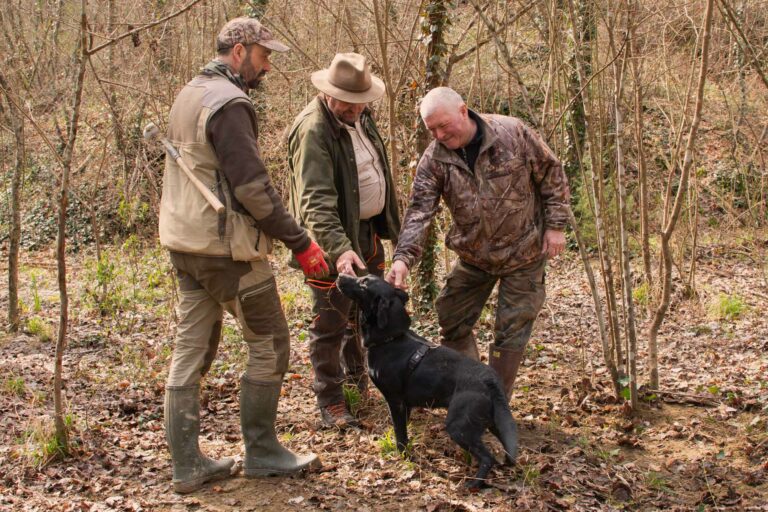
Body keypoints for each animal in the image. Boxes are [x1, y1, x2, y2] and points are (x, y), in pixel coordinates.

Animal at [336, 274, 516, 486]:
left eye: (364, 282)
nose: (340, 275)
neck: (391, 339)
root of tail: (490, 380)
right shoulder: (406, 405)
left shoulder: (395, 401)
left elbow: (400, 434)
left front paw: (404, 457)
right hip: (494, 422)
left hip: (459, 426)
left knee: (488, 458)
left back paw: (474, 484)